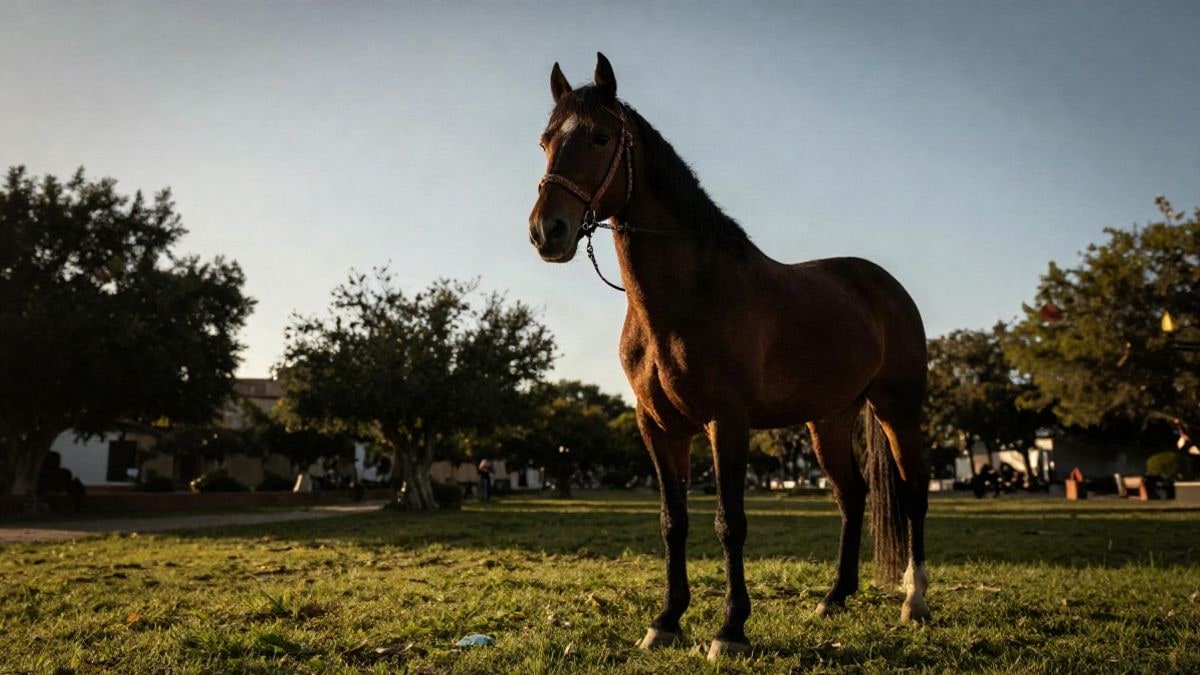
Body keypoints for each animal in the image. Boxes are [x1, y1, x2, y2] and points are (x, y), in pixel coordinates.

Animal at [527, 53, 930, 660]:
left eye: (600, 137)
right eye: (546, 140)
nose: (546, 231)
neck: (688, 295)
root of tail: (885, 287)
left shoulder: (727, 422)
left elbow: (729, 522)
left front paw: (730, 628)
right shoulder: (658, 427)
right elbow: (672, 522)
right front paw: (666, 621)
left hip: (897, 411)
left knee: (913, 493)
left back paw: (915, 601)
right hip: (828, 421)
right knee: (852, 497)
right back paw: (834, 598)